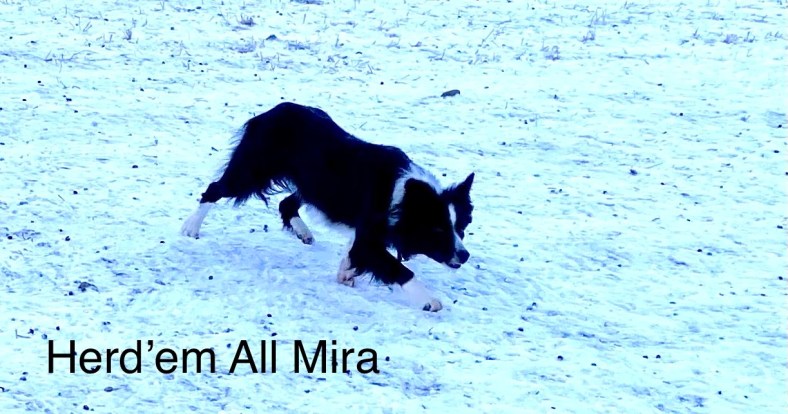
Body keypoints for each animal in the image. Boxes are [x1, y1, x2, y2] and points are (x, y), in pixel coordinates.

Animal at [180, 102, 474, 311]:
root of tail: (270, 113)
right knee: (214, 189)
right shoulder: (370, 237)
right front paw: (429, 300)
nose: (464, 255)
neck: (403, 198)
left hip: (311, 185)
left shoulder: (365, 231)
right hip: (252, 172)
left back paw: (303, 232)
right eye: (437, 231)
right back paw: (191, 227)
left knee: (286, 203)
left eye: (460, 227)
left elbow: (355, 254)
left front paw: (345, 273)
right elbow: (397, 268)